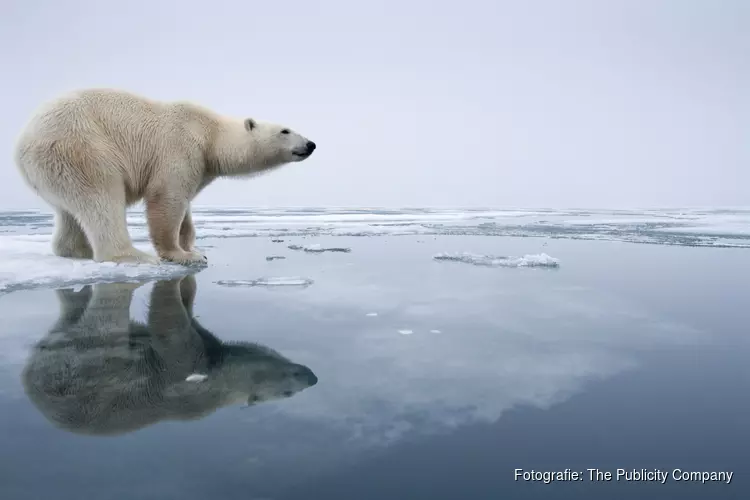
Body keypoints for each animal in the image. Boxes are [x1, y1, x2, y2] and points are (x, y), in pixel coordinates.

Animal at [15, 89, 314, 266]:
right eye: (285, 130)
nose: (310, 144)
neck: (210, 133)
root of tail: (21, 146)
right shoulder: (180, 147)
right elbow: (166, 199)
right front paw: (182, 255)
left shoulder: (199, 166)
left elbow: (186, 207)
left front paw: (194, 247)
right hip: (81, 149)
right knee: (101, 198)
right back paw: (134, 256)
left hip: (55, 170)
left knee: (69, 211)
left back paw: (77, 251)